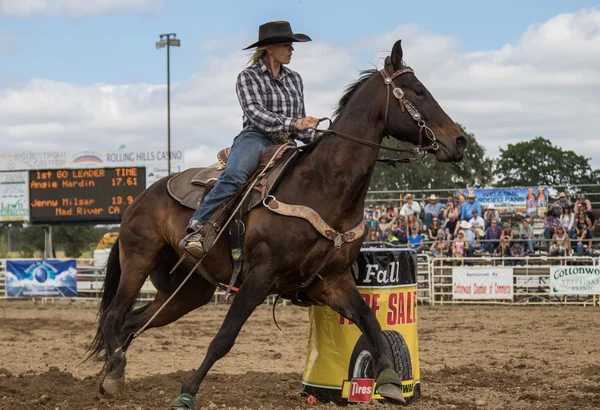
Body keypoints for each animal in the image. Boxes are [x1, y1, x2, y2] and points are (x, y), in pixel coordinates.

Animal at [88, 40, 464, 408]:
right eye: (419, 91)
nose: (459, 140)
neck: (321, 186)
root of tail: (139, 199)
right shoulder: (260, 276)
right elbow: (224, 337)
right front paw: (187, 392)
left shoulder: (333, 280)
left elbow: (370, 322)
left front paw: (388, 382)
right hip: (139, 260)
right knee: (113, 316)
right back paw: (115, 370)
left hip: (189, 289)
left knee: (132, 322)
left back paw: (112, 377)